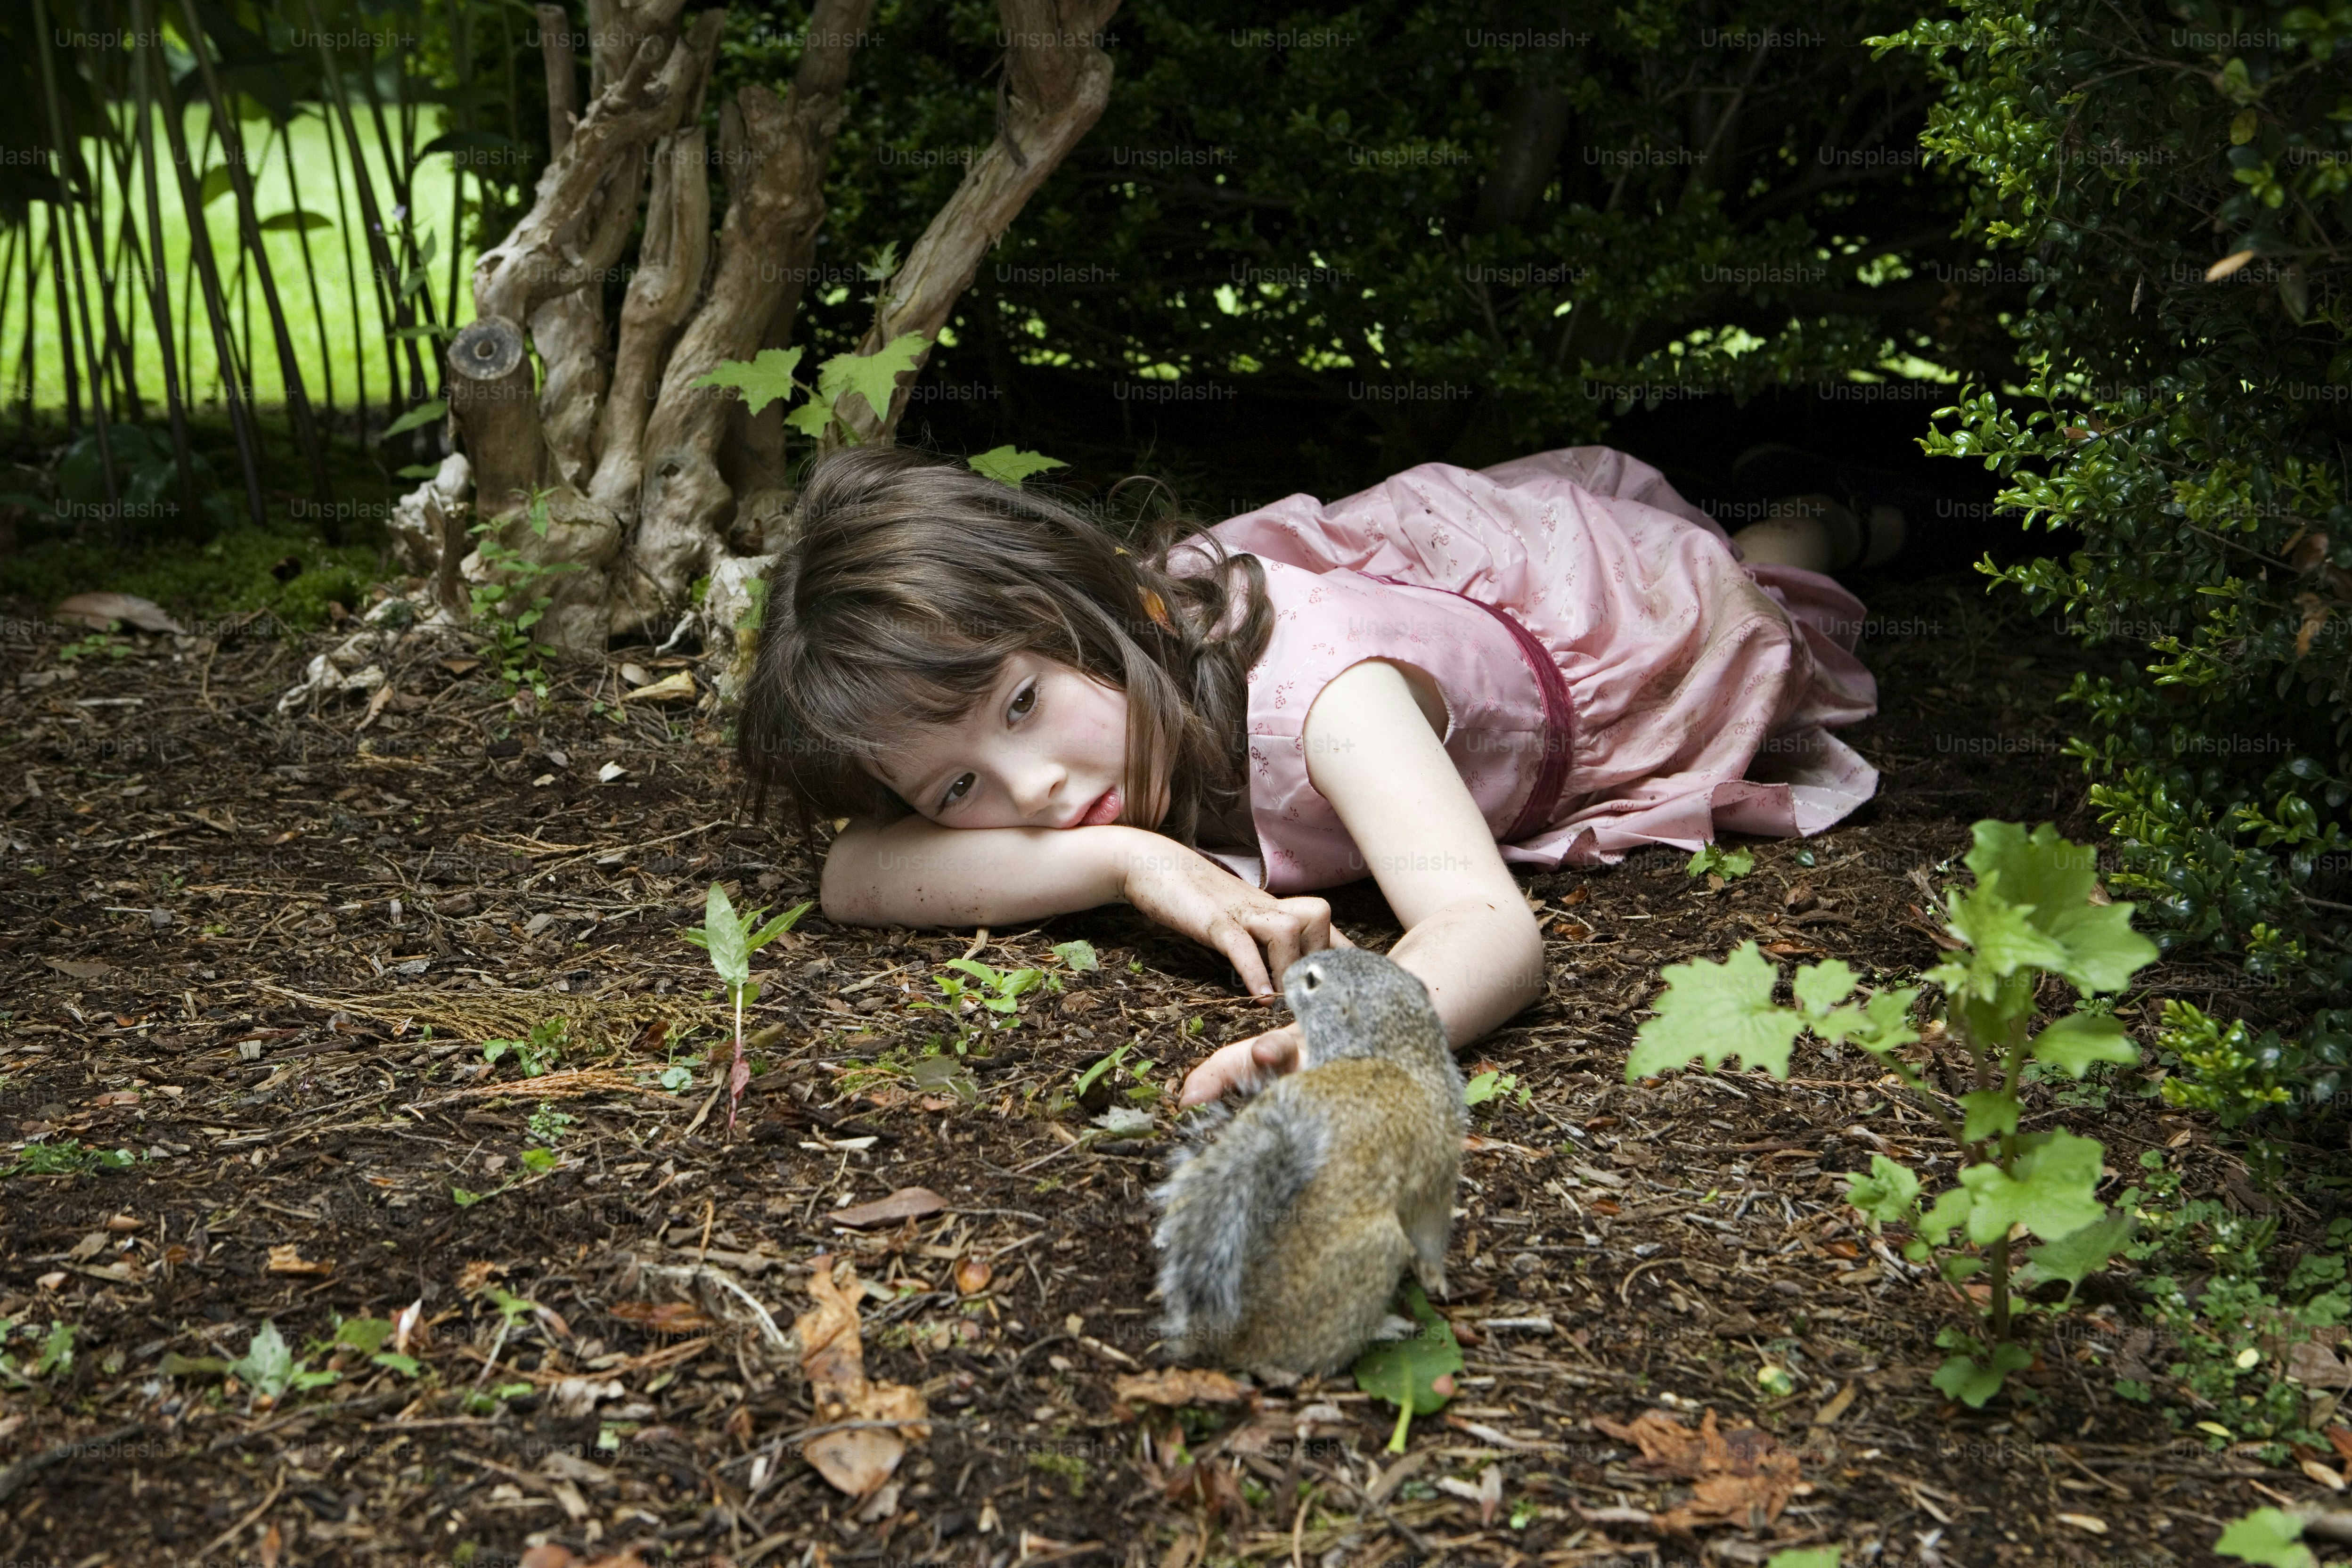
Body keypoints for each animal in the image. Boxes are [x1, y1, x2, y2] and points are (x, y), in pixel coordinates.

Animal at [1151, 948, 1466, 1375]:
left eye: (1313, 981)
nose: (1285, 976)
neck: (1400, 1053)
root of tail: (1239, 1343)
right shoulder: (1436, 1177)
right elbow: (1431, 1233)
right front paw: (1436, 1275)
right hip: (1373, 1253)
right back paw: (1383, 1326)